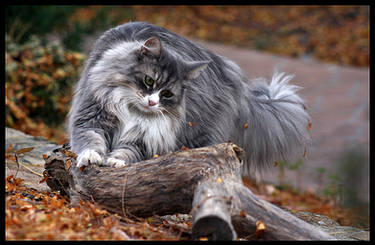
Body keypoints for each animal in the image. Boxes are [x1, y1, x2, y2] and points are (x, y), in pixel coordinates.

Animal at [67, 20, 312, 174]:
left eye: (167, 94)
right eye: (149, 81)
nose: (152, 102)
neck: (132, 111)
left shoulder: (144, 139)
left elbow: (128, 152)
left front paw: (116, 161)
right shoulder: (92, 117)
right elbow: (91, 140)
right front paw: (91, 157)